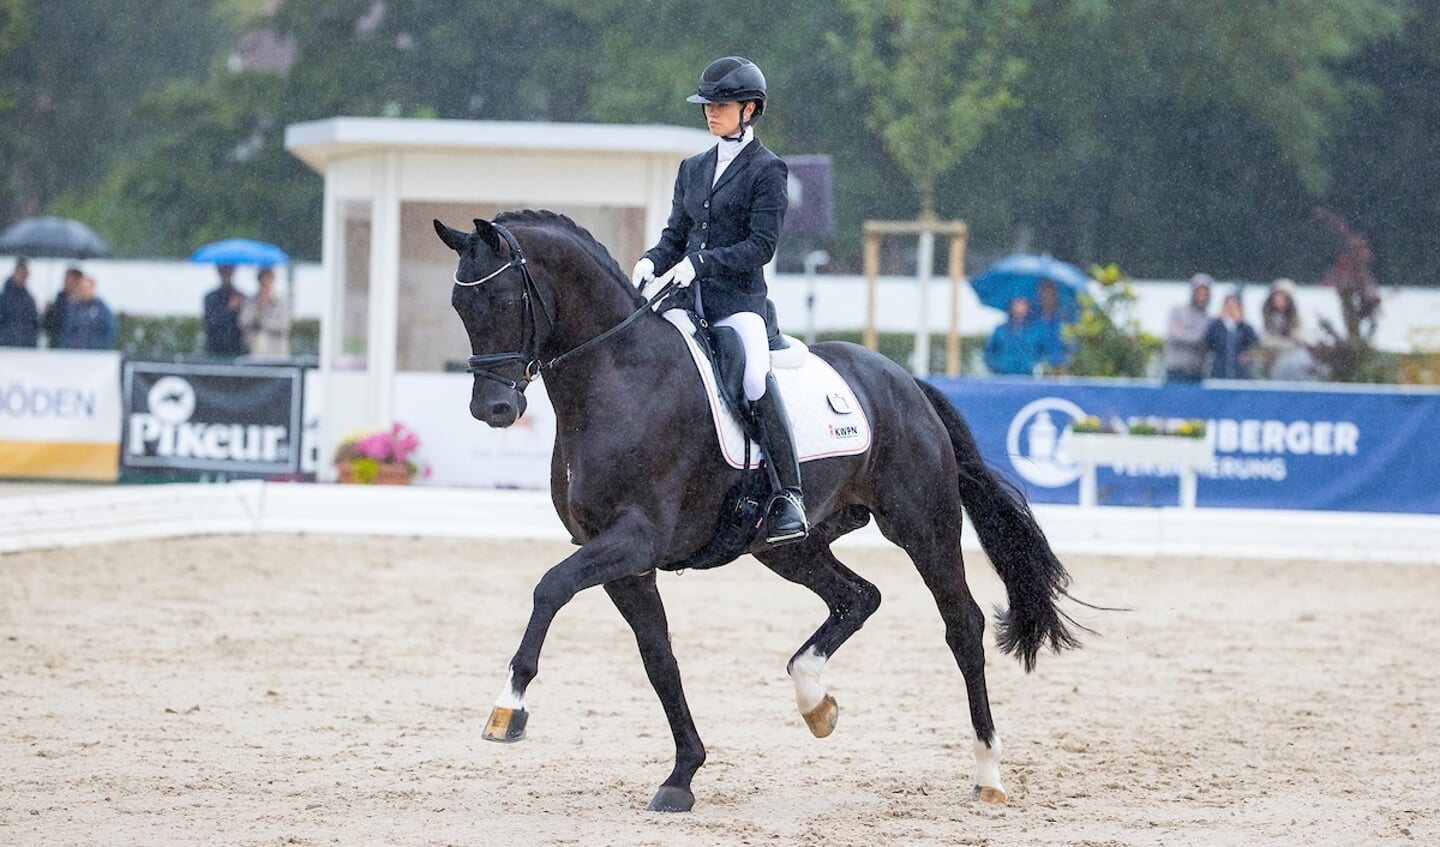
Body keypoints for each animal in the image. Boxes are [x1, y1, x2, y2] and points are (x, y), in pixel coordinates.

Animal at [434, 208, 1082, 812]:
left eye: (502, 298)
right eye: (459, 306)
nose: (493, 409)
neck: (618, 378)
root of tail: (904, 380)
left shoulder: (635, 538)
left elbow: (550, 587)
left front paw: (508, 708)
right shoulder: (622, 559)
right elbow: (658, 656)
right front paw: (682, 776)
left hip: (922, 524)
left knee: (961, 625)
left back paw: (988, 773)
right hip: (787, 545)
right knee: (858, 596)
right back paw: (815, 700)